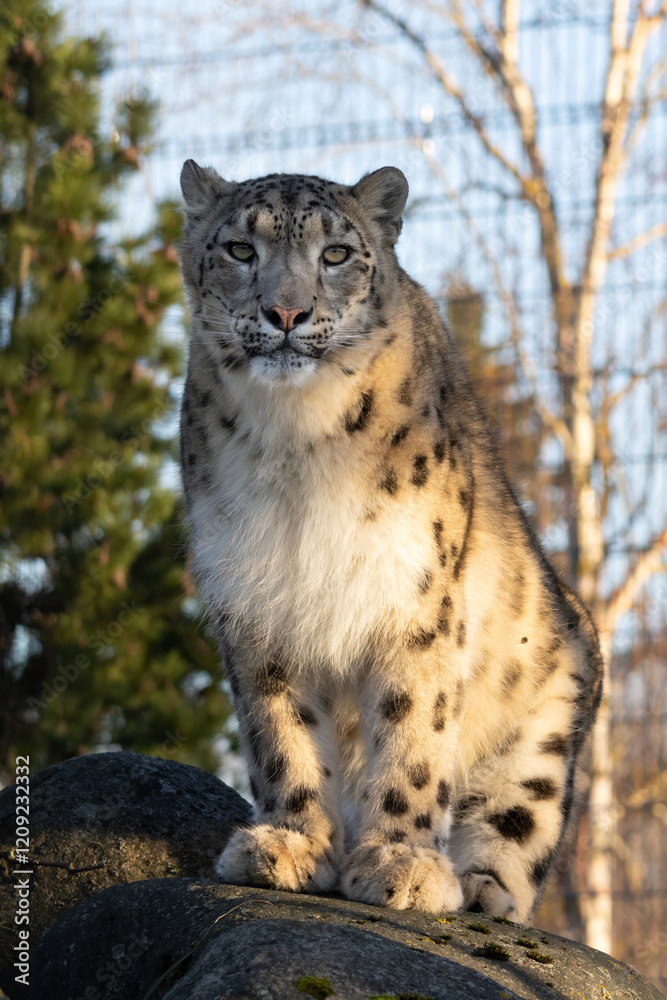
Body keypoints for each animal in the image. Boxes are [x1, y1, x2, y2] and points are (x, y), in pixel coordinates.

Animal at [177, 159, 602, 922]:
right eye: (240, 249)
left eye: (336, 254)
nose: (285, 314)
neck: (296, 444)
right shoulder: (253, 598)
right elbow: (278, 731)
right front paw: (289, 845)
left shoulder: (415, 595)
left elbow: (413, 726)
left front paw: (402, 863)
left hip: (549, 712)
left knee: (522, 816)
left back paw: (479, 886)